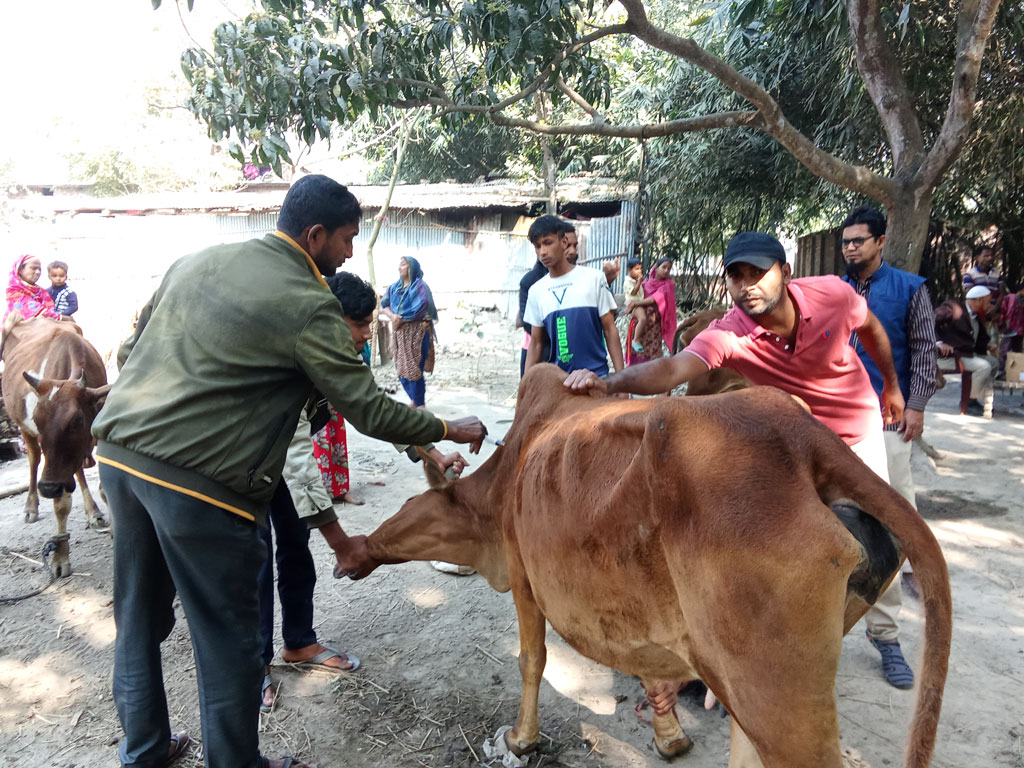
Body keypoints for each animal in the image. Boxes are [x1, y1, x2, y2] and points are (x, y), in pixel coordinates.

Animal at [1, 317, 111, 577]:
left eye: (77, 420)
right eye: (37, 419)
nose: (48, 488)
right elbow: (61, 505)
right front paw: (60, 557)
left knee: (77, 471)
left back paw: (93, 512)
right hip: (24, 430)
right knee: (34, 461)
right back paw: (31, 507)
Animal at [344, 364, 950, 768]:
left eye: (407, 504)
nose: (354, 552)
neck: (507, 476)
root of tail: (807, 439)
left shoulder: (521, 578)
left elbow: (531, 660)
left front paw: (520, 739)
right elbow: (653, 673)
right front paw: (669, 736)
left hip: (779, 695)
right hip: (746, 679)